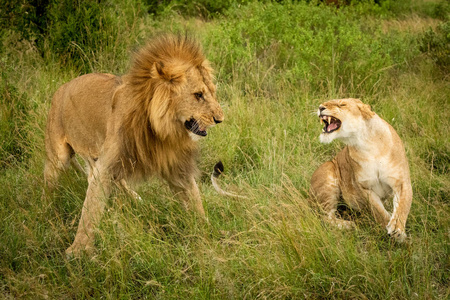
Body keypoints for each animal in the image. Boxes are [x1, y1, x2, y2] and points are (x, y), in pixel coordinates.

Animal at [44, 34, 223, 255]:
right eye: (198, 95)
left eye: (212, 92)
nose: (220, 119)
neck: (160, 129)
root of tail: (60, 88)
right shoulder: (107, 164)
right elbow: (91, 210)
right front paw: (77, 251)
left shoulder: (176, 166)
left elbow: (194, 199)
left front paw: (208, 232)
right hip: (59, 155)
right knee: (49, 180)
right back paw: (45, 209)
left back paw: (136, 200)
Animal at [312, 97, 414, 243]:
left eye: (341, 104)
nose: (320, 107)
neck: (366, 142)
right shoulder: (365, 187)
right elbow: (379, 212)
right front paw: (391, 231)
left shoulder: (401, 181)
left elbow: (403, 206)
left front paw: (397, 230)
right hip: (328, 172)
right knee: (324, 217)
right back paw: (349, 225)